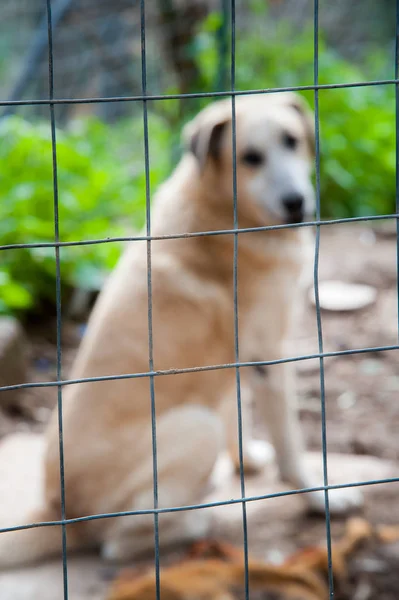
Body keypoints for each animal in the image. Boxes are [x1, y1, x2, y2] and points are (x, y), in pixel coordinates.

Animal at [0, 92, 362, 568]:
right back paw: (199, 519)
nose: (295, 202)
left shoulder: (235, 362)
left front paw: (248, 461)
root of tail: (59, 511)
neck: (225, 208)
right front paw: (319, 498)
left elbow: (237, 415)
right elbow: (290, 445)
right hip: (196, 426)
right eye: (250, 158)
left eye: (292, 140)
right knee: (118, 543)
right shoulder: (270, 354)